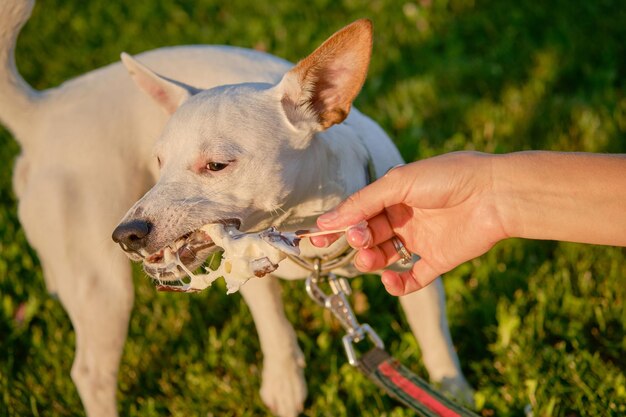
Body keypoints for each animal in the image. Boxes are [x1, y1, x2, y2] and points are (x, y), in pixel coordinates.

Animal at [0, 1, 468, 414]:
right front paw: (285, 383)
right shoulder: (245, 262)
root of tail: (43, 112)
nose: (126, 234)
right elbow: (272, 323)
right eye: (158, 162)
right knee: (91, 374)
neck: (304, 233)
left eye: (216, 165)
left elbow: (434, 337)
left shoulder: (413, 271)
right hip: (105, 290)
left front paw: (453, 391)